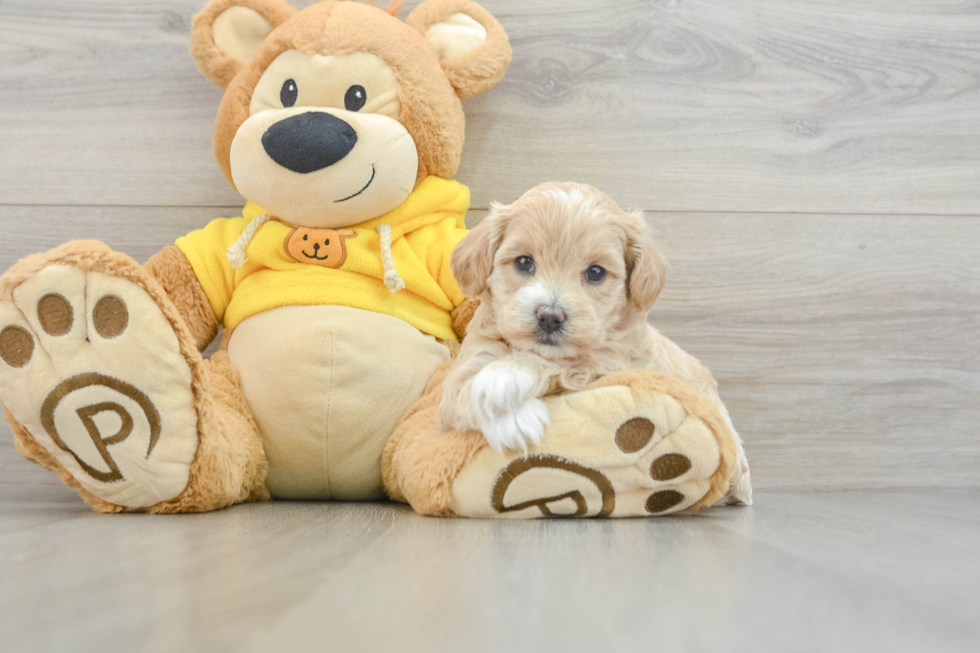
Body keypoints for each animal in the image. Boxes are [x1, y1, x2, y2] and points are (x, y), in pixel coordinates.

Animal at [440, 182, 756, 504]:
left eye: (595, 272)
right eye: (524, 262)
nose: (550, 316)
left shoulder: (613, 362)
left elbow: (564, 362)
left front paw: (504, 375)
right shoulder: (466, 367)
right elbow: (462, 393)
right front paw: (511, 420)